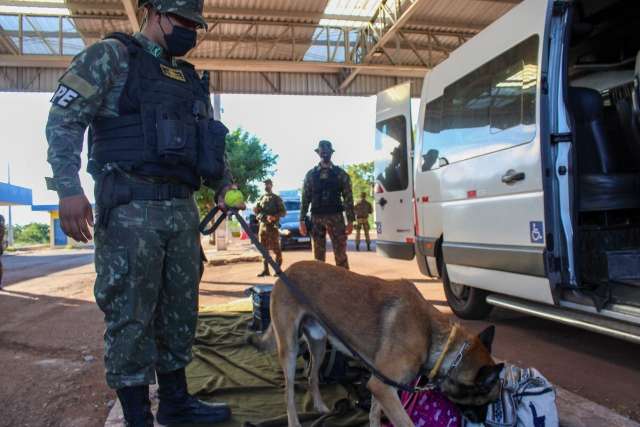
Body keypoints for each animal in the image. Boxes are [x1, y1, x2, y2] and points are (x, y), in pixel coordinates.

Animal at [248, 260, 502, 427]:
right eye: (485, 401)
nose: (484, 421)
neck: (432, 335)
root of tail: (286, 271)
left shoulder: (380, 386)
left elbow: (373, 414)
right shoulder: (383, 388)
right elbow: (405, 423)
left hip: (319, 345)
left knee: (311, 376)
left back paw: (320, 407)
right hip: (289, 349)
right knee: (289, 393)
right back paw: (294, 420)